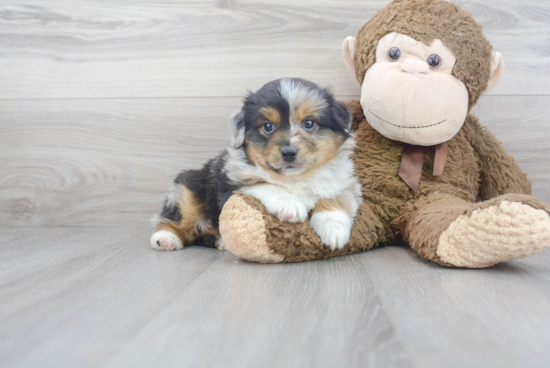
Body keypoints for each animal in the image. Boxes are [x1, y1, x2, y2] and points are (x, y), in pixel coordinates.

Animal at [153, 77, 364, 250]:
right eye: (268, 127)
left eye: (309, 123)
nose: (289, 152)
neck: (294, 178)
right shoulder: (232, 184)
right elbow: (264, 185)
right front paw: (290, 204)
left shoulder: (345, 183)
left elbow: (336, 198)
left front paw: (334, 230)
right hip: (187, 189)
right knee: (174, 220)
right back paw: (165, 238)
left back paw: (220, 241)